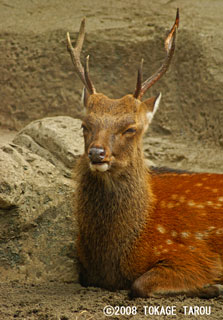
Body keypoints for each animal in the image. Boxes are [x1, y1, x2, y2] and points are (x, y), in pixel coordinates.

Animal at [66, 10, 223, 300]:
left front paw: (214, 286)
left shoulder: (195, 255)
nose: (96, 153)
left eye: (130, 128)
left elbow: (139, 284)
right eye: (84, 125)